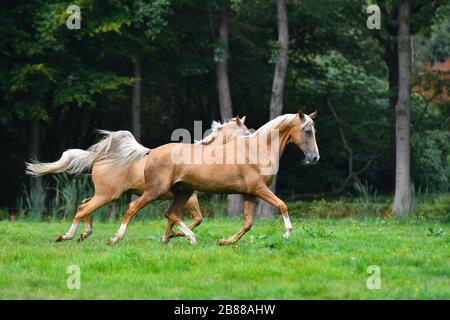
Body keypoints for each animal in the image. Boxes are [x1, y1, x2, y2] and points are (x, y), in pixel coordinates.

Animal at [26, 117, 250, 242]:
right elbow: (196, 219)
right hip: (108, 195)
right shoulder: (192, 198)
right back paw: (68, 236)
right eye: (246, 132)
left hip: (106, 194)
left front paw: (168, 236)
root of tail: (99, 157)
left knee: (84, 203)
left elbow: (175, 218)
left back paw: (84, 234)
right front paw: (175, 236)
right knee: (83, 208)